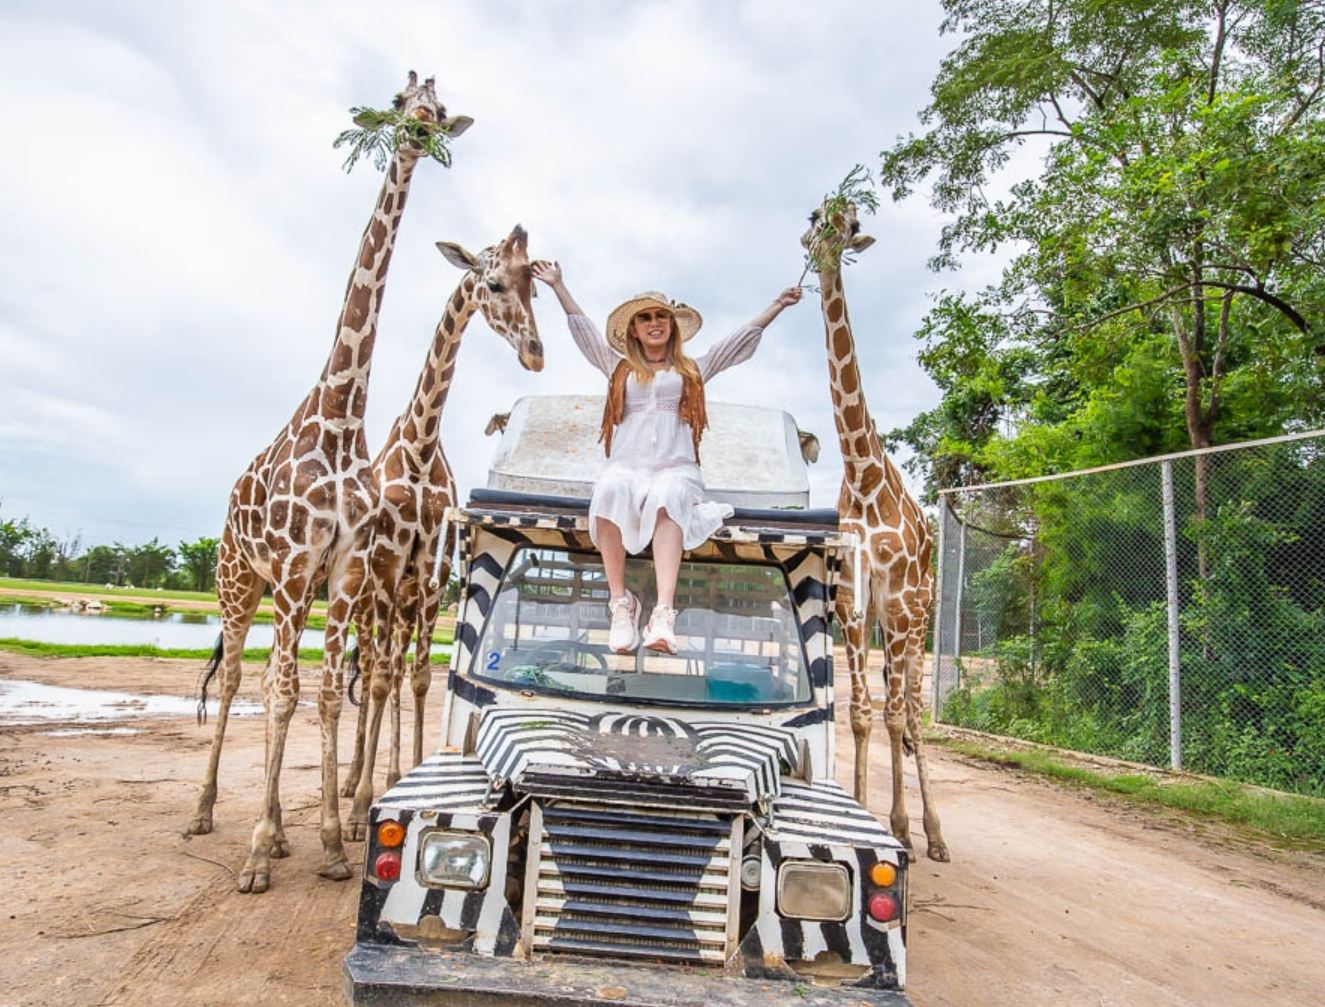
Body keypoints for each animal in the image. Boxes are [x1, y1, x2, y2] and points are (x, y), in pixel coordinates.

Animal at [185, 72, 472, 893]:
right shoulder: (298, 566)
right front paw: (263, 848)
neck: (343, 416)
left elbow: (341, 690)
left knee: (308, 678)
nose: (416, 135)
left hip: (316, 592)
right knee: (235, 680)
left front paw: (333, 840)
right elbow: (292, 691)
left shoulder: (354, 572)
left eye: (440, 113)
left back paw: (293, 823)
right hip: (238, 580)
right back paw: (208, 813)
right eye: (405, 102)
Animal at [341, 227, 544, 838]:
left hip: (407, 602)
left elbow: (420, 680)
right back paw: (350, 781)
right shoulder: (389, 574)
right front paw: (361, 807)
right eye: (494, 282)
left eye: (534, 286)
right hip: (368, 601)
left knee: (395, 670)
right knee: (370, 671)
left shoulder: (430, 581)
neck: (420, 447)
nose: (535, 352)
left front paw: (407, 770)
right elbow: (381, 679)